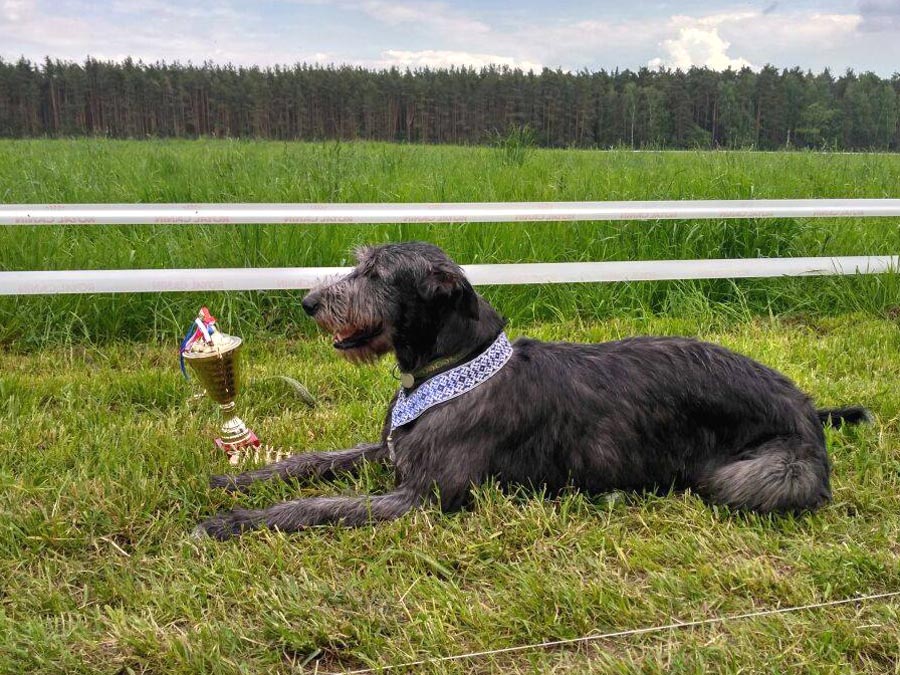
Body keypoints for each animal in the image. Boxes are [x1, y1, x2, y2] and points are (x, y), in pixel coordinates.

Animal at [193, 242, 868, 540]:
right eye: (361, 263)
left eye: (377, 274)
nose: (309, 302)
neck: (451, 368)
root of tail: (804, 406)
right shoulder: (390, 453)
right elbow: (313, 462)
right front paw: (237, 480)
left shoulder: (420, 498)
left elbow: (317, 507)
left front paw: (235, 521)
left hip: (762, 475)